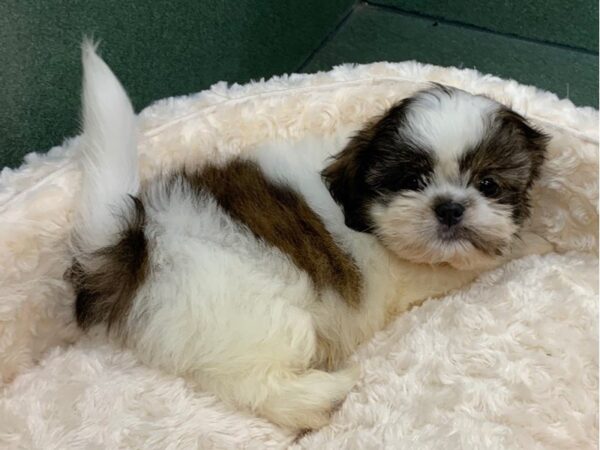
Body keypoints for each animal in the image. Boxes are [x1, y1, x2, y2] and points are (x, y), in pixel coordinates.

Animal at [68, 44, 552, 430]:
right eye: (413, 180)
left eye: (489, 184)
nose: (450, 207)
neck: (361, 212)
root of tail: (142, 244)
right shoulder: (417, 278)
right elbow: (478, 264)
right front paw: (538, 244)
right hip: (249, 313)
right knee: (262, 385)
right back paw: (328, 392)